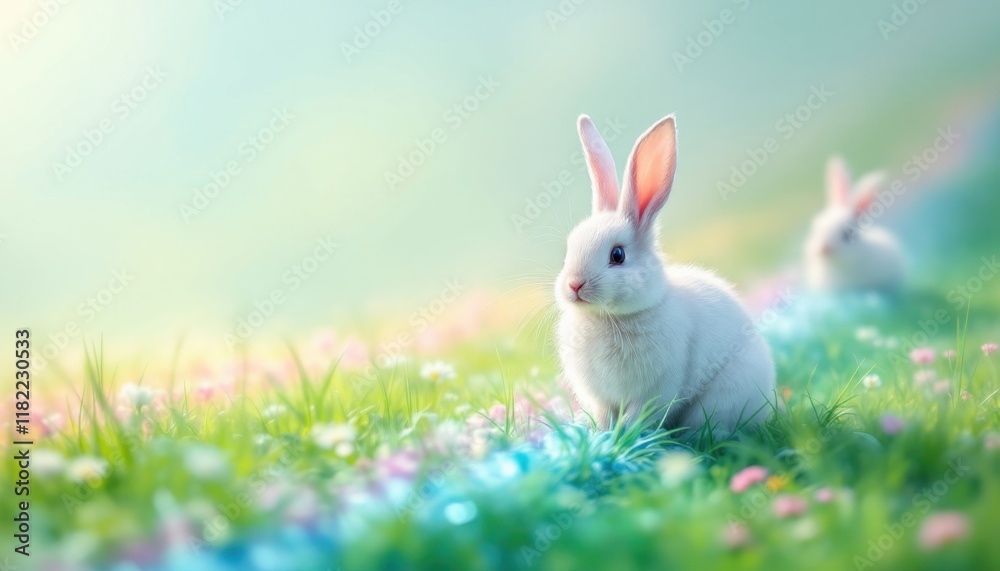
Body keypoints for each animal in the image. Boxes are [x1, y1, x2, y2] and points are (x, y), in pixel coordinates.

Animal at [555, 114, 775, 437]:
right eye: (568, 250)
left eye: (617, 255)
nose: (574, 284)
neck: (610, 318)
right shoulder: (601, 398)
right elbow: (605, 417)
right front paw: (603, 437)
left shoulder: (653, 392)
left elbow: (635, 418)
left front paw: (625, 439)